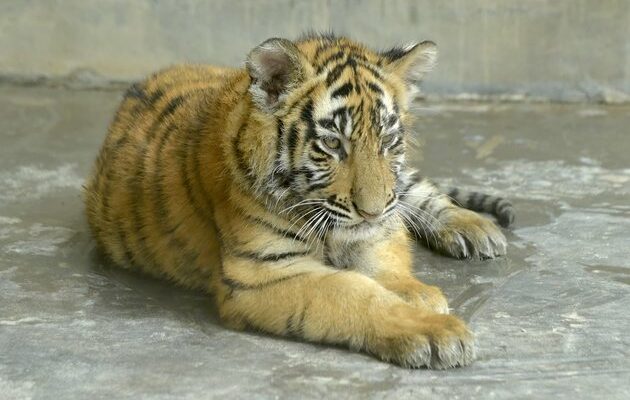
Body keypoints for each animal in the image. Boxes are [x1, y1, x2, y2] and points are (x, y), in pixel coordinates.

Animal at [84, 34, 516, 368]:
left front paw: (419, 294)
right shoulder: (261, 272)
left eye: (387, 141)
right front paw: (432, 330)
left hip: (400, 188)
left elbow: (385, 258)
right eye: (332, 144)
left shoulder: (379, 224)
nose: (371, 211)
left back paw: (476, 228)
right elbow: (352, 292)